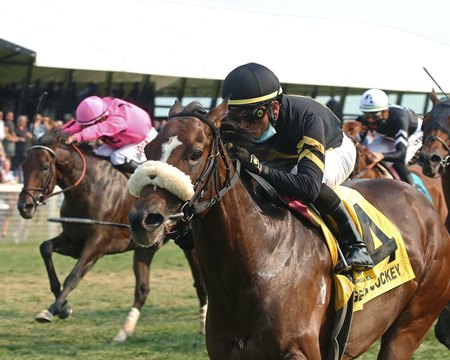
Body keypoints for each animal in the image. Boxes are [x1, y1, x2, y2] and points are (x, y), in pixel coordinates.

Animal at [16, 130, 207, 344]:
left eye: (45, 166)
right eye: (23, 166)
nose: (24, 206)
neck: (89, 187)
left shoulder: (98, 243)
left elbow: (73, 276)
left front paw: (52, 310)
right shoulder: (74, 241)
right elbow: (45, 248)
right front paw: (64, 307)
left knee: (200, 282)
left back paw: (203, 324)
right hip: (146, 249)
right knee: (143, 289)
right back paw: (124, 331)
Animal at [126, 100, 450, 358]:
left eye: (194, 154)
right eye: (149, 149)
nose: (144, 219)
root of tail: (423, 205)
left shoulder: (300, 351)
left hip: (410, 325)